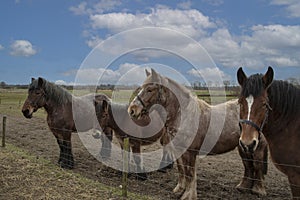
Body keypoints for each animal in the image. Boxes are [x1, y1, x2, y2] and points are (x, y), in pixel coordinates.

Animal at [127, 69, 268, 200]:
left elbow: (190, 173)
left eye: (150, 89)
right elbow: (182, 170)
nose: (132, 110)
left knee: (257, 165)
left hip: (257, 147)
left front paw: (188, 195)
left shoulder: (190, 152)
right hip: (243, 147)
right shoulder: (178, 150)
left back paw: (258, 190)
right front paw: (179, 189)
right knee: (248, 165)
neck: (184, 116)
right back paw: (243, 187)